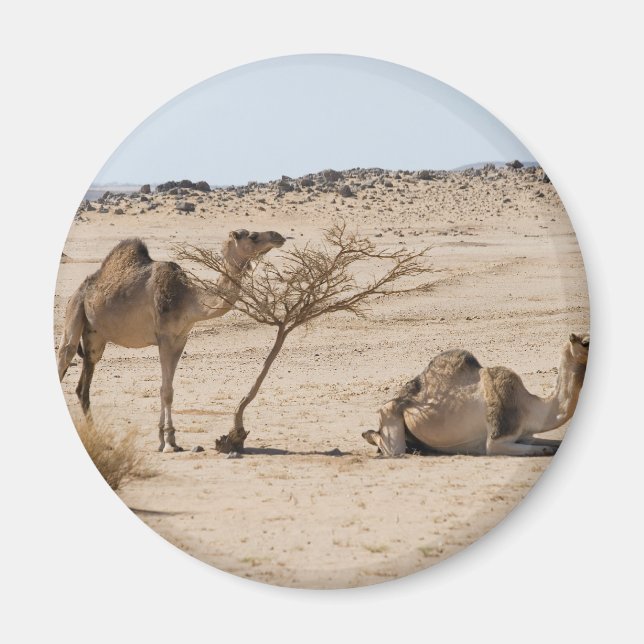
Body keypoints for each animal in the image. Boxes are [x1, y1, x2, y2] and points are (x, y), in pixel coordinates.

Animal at [57, 229, 286, 452]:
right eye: (253, 236)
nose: (278, 236)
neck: (189, 299)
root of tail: (82, 288)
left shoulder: (180, 339)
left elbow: (167, 388)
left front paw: (167, 439)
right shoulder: (165, 337)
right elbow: (166, 391)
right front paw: (168, 443)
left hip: (95, 335)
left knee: (83, 386)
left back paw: (99, 440)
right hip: (74, 310)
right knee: (65, 355)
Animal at [362, 333, 589, 457]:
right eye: (585, 342)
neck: (529, 406)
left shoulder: (525, 434)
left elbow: (553, 443)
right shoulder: (497, 440)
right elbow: (544, 449)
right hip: (390, 416)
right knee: (391, 446)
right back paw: (371, 436)